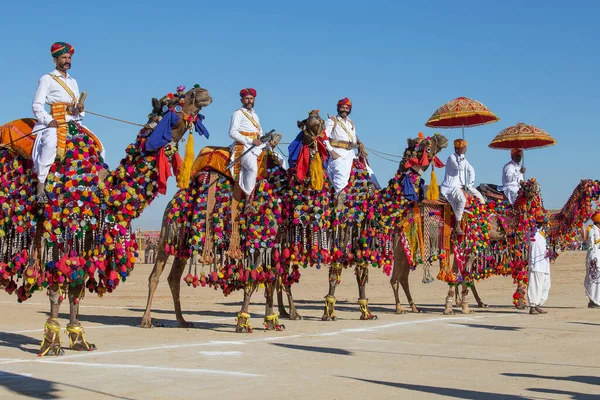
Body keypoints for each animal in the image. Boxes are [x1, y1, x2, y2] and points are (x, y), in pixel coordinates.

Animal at [0, 86, 213, 354]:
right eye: (173, 101)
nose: (202, 92)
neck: (99, 189)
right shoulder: (62, 228)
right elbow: (57, 287)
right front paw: (52, 343)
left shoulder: (89, 234)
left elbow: (76, 287)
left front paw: (78, 339)